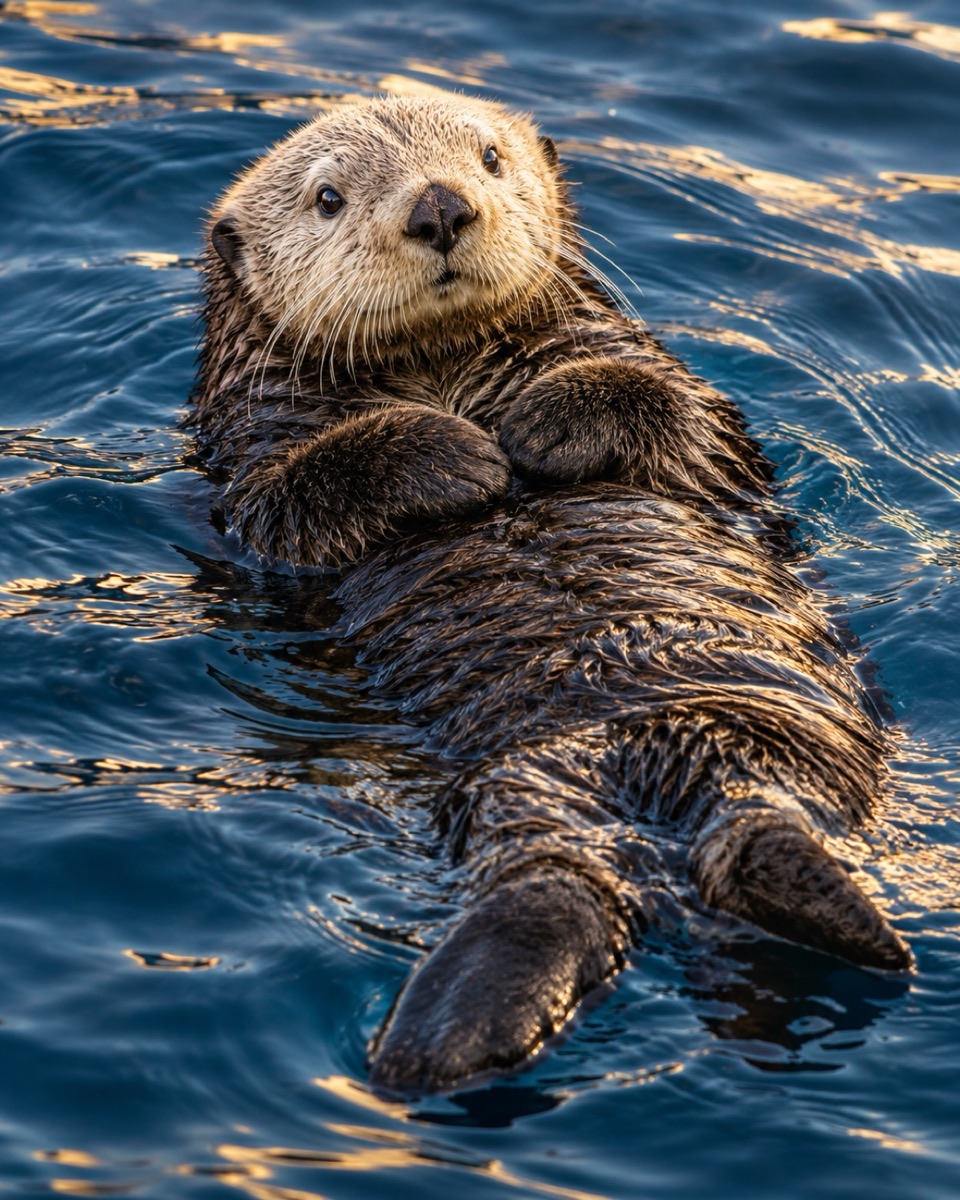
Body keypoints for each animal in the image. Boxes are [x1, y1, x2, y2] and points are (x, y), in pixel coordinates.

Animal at [190, 93, 910, 1093]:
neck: (444, 373)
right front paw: (464, 456)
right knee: (568, 875)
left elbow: (682, 415)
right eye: (328, 197)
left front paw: (534, 427)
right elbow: (293, 497)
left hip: (762, 737)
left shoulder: (677, 394)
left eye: (490, 157)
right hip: (520, 797)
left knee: (747, 819)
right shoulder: (248, 459)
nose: (439, 207)